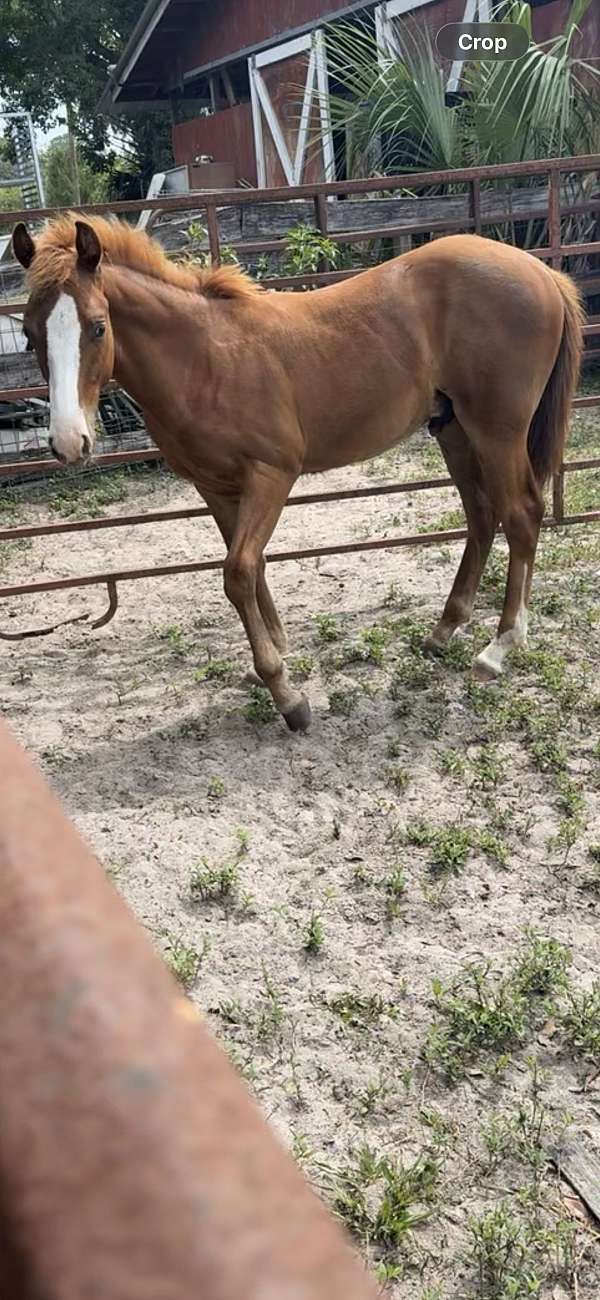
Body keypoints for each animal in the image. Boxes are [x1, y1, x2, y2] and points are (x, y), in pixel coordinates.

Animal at [13, 214, 583, 732]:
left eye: (98, 326)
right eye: (29, 333)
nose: (69, 442)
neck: (203, 361)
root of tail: (541, 271)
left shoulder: (272, 475)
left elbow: (238, 572)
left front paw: (287, 696)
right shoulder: (215, 486)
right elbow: (251, 567)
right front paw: (273, 660)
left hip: (497, 430)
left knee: (521, 515)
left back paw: (498, 648)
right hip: (454, 429)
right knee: (482, 516)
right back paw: (443, 631)